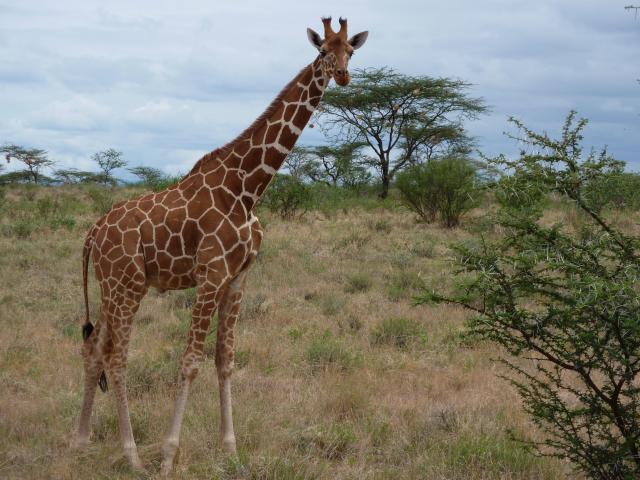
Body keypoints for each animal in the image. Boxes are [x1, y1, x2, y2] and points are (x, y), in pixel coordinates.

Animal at [74, 17, 368, 474]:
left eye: (350, 52)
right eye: (323, 51)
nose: (341, 74)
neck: (248, 189)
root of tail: (94, 230)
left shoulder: (238, 277)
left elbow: (225, 360)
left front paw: (230, 448)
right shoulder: (211, 274)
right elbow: (190, 362)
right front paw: (168, 456)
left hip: (112, 287)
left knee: (93, 349)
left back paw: (82, 442)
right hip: (126, 285)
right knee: (116, 358)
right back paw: (133, 456)